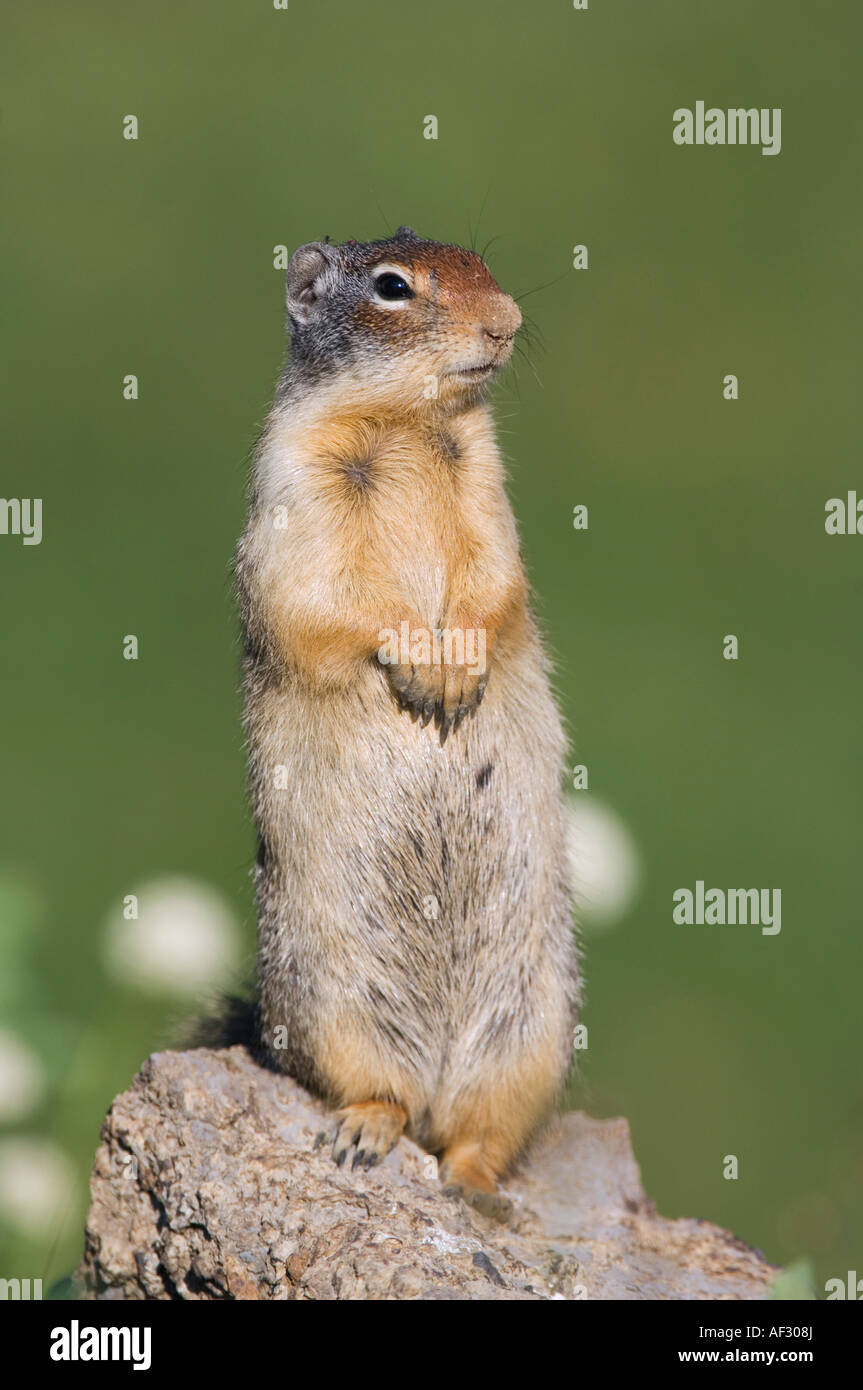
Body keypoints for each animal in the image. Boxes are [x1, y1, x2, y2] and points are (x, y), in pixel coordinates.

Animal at [235, 226, 580, 1219]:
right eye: (392, 289)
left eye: (484, 266)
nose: (506, 323)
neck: (411, 428)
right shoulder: (294, 489)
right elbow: (326, 600)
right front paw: (424, 664)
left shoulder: (487, 488)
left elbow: (495, 577)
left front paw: (457, 663)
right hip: (332, 1003)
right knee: (376, 1091)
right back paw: (364, 1133)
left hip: (533, 1029)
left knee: (481, 1135)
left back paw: (473, 1188)